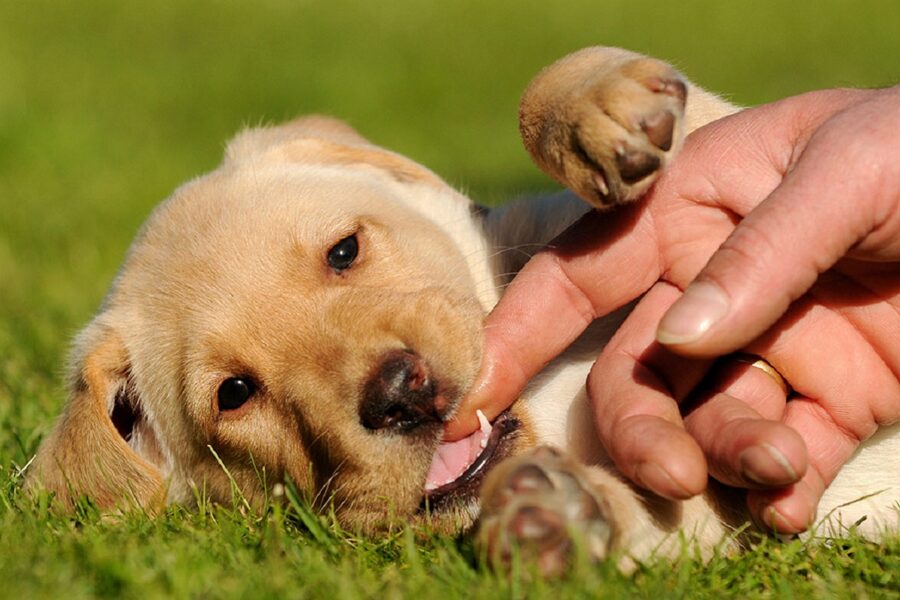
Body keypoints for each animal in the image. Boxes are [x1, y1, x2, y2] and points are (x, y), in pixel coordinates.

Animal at [24, 45, 896, 572]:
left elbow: (675, 125)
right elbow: (656, 520)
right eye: (234, 394)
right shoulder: (733, 527)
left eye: (344, 251)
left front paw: (598, 106)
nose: (397, 395)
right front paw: (557, 518)